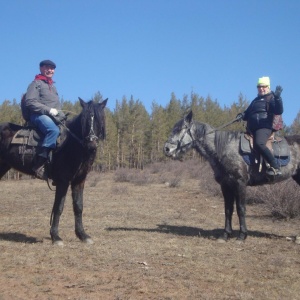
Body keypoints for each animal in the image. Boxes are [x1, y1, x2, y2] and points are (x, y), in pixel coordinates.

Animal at [0, 98, 108, 246]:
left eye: (99, 119)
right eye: (84, 120)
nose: (91, 145)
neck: (71, 144)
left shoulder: (79, 180)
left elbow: (78, 206)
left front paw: (83, 235)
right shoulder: (63, 181)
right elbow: (58, 207)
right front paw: (56, 237)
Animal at [164, 112, 300, 241]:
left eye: (180, 129)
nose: (166, 149)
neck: (224, 148)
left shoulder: (240, 183)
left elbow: (241, 209)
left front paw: (242, 235)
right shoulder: (226, 185)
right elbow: (228, 209)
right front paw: (226, 234)